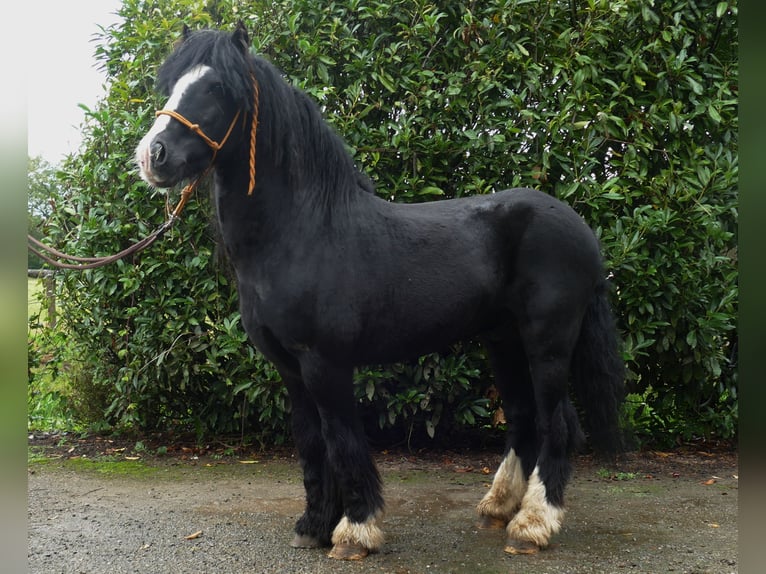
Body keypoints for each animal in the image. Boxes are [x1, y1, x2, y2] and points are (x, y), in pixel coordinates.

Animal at [136, 23, 624, 564]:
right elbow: (310, 443)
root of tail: (579, 227)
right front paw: (313, 525)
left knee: (557, 423)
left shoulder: (325, 362)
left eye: (218, 88)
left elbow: (341, 438)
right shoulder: (289, 367)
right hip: (504, 339)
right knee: (522, 418)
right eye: (171, 83)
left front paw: (354, 530)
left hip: (548, 343)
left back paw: (533, 524)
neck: (300, 232)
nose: (153, 156)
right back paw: (497, 508)